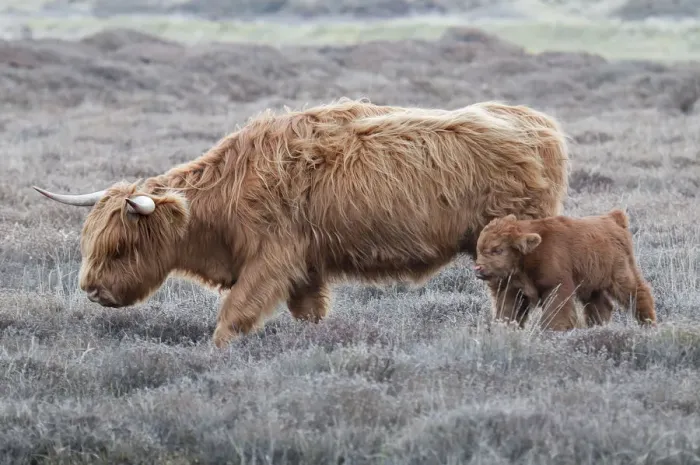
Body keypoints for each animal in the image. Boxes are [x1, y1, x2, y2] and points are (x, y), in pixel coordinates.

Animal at [33, 97, 570, 348]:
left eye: (120, 247)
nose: (92, 291)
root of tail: (538, 123)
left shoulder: (271, 261)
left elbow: (233, 316)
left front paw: (216, 354)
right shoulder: (306, 270)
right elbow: (309, 313)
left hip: (506, 252)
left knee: (513, 298)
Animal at [473, 209, 656, 330]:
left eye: (498, 250)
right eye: (479, 249)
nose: (478, 268)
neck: (533, 252)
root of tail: (613, 218)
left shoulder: (557, 287)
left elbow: (555, 315)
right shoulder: (514, 291)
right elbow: (508, 313)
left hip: (621, 275)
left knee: (639, 294)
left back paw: (648, 323)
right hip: (591, 286)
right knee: (601, 305)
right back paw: (596, 327)